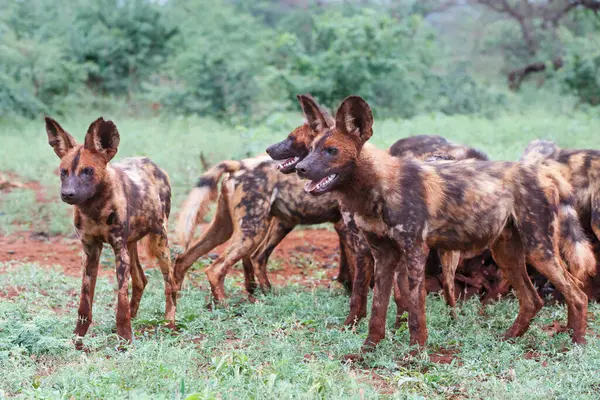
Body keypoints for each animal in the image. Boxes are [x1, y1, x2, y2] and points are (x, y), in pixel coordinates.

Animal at [44, 115, 176, 346]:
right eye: (63, 172)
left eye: (87, 171)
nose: (68, 194)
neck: (94, 208)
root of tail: (151, 163)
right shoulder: (90, 251)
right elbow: (84, 304)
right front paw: (78, 338)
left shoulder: (118, 250)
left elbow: (120, 303)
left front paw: (125, 340)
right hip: (131, 245)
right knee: (141, 280)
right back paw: (134, 317)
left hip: (160, 242)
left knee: (171, 283)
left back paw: (169, 321)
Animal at [292, 95, 592, 348]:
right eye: (312, 149)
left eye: (331, 151)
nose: (300, 168)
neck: (376, 188)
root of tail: (543, 172)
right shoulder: (383, 256)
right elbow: (377, 310)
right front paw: (368, 350)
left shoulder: (414, 252)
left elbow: (415, 310)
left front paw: (415, 354)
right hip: (508, 254)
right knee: (536, 299)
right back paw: (514, 338)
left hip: (538, 250)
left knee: (577, 294)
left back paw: (575, 344)